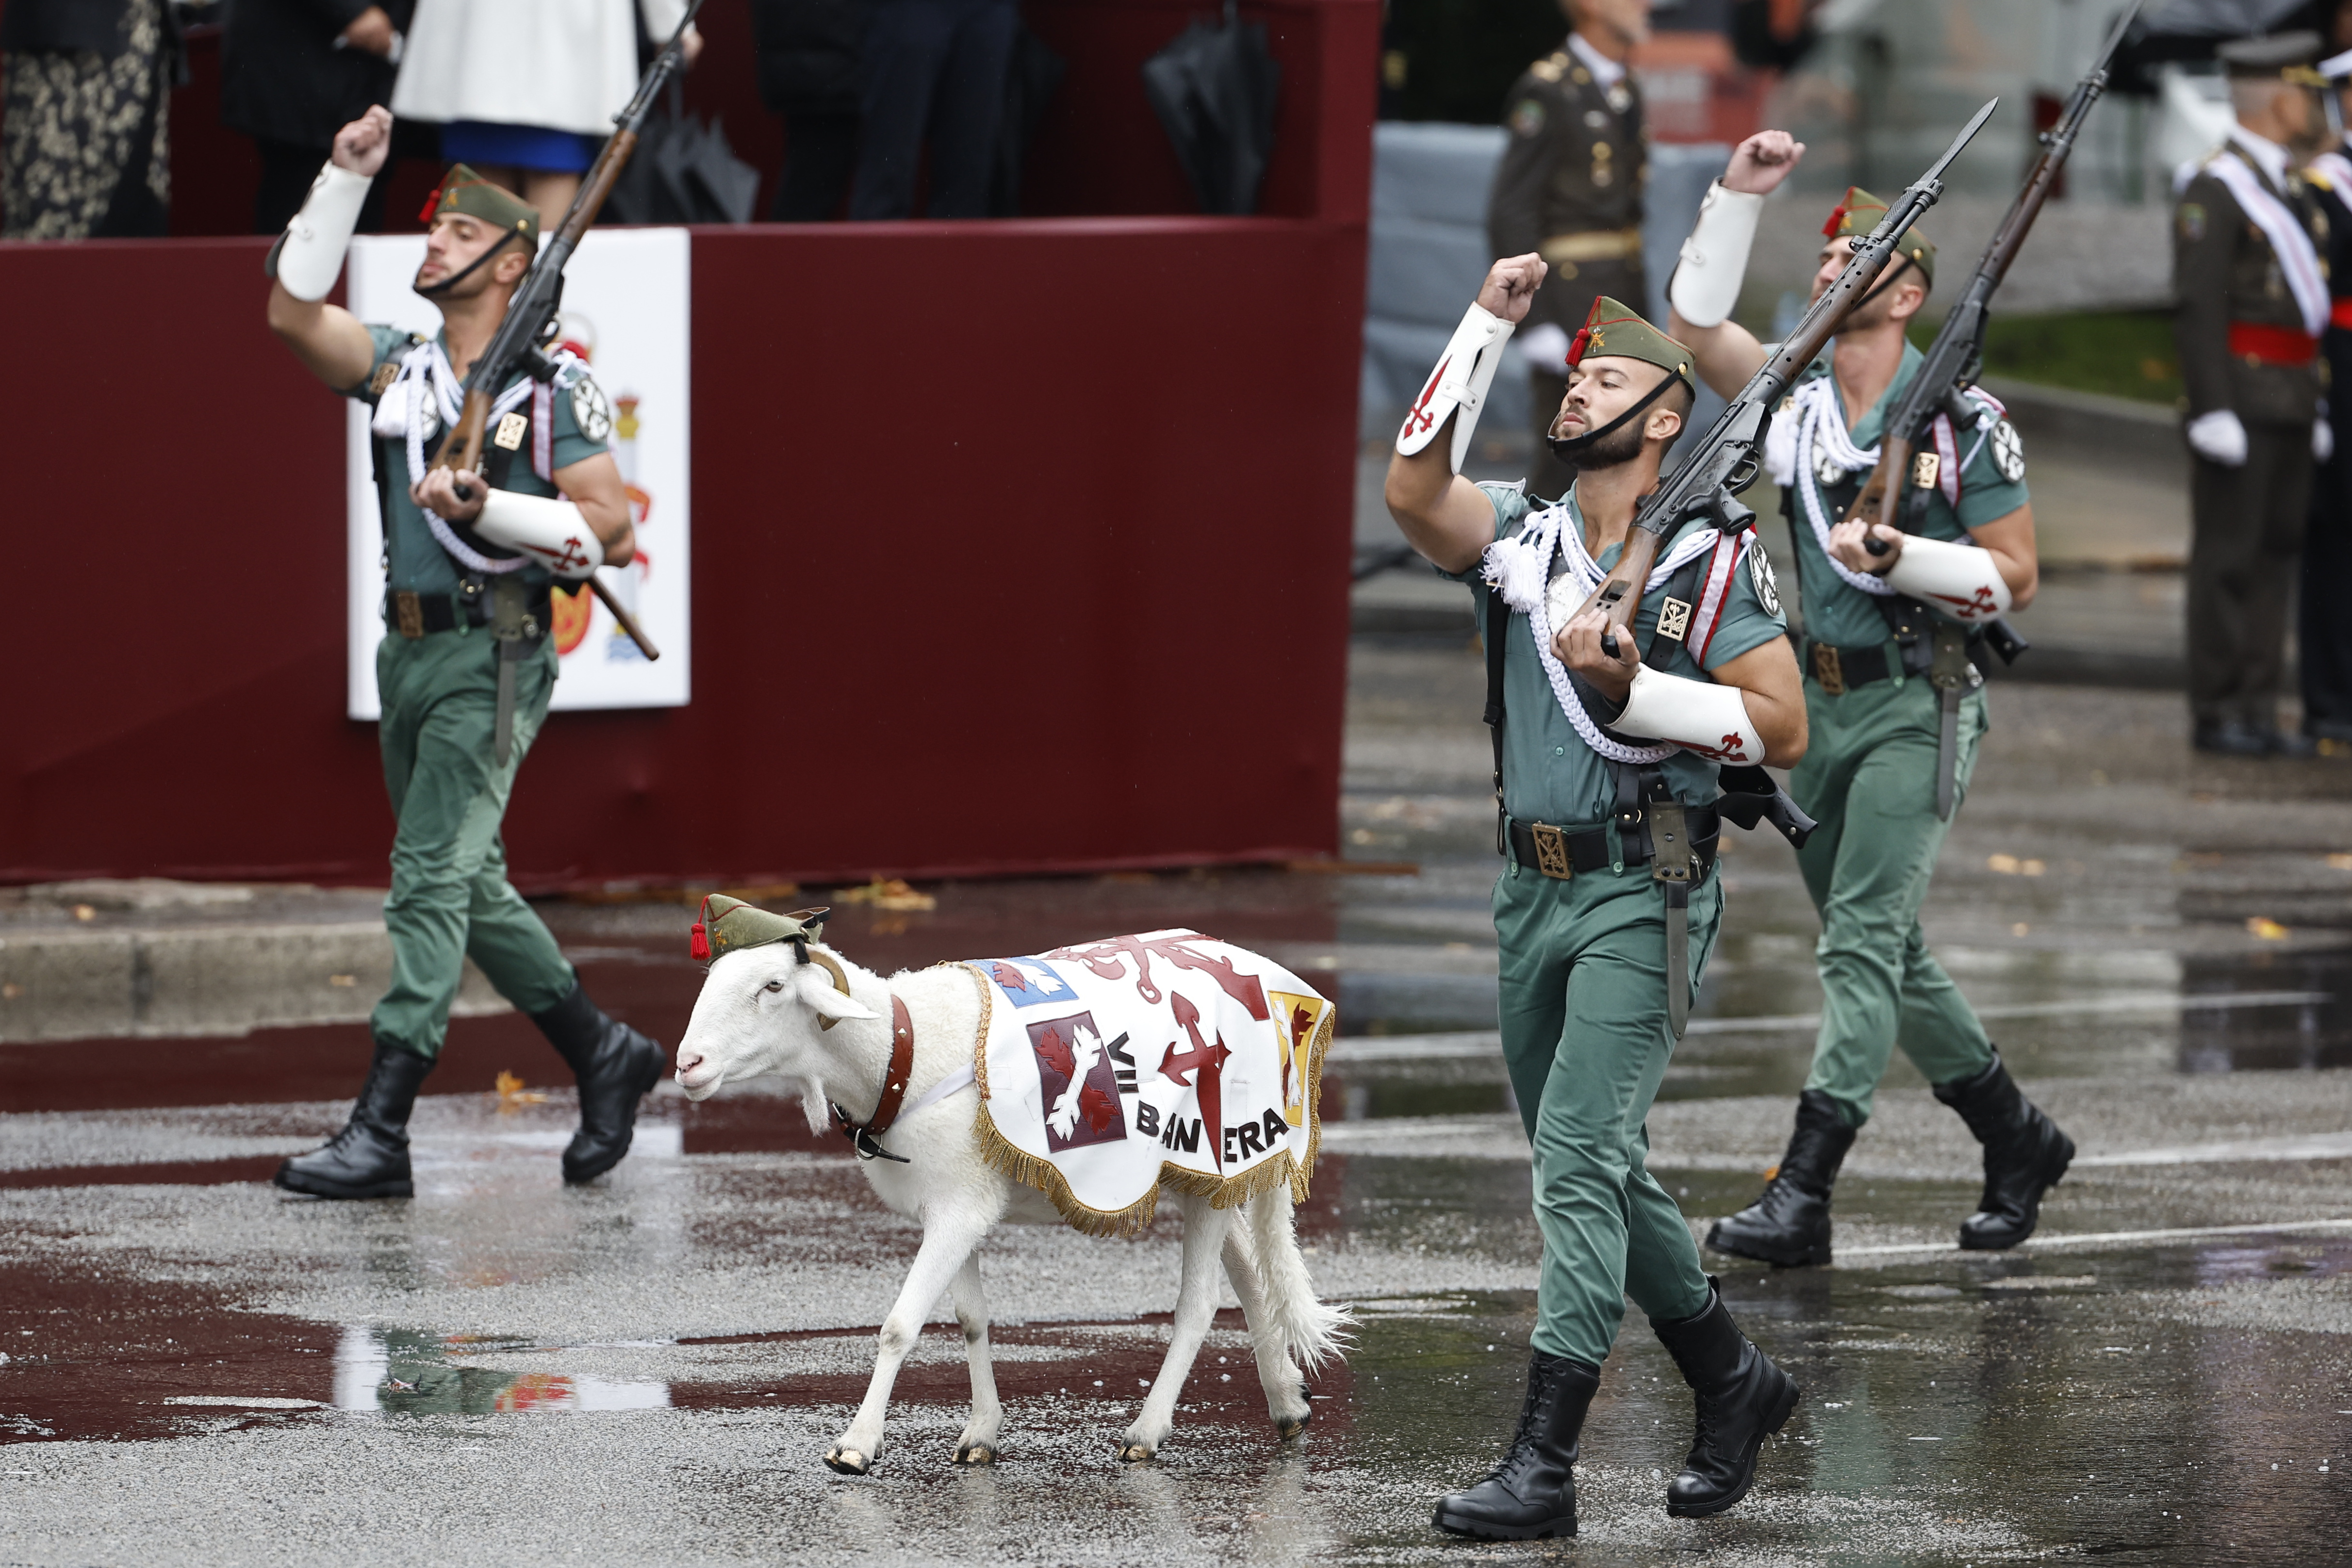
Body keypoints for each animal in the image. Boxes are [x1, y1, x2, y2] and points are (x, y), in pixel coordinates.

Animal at [673, 945, 1354, 1476]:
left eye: (772, 986)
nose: (687, 1065)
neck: (903, 1049)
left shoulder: (958, 1206)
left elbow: (899, 1325)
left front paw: (856, 1446)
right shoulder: (957, 1202)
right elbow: (971, 1319)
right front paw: (980, 1434)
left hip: (1215, 1153)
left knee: (1200, 1301)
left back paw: (1147, 1431)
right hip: (1206, 1177)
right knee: (1248, 1274)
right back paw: (1287, 1402)